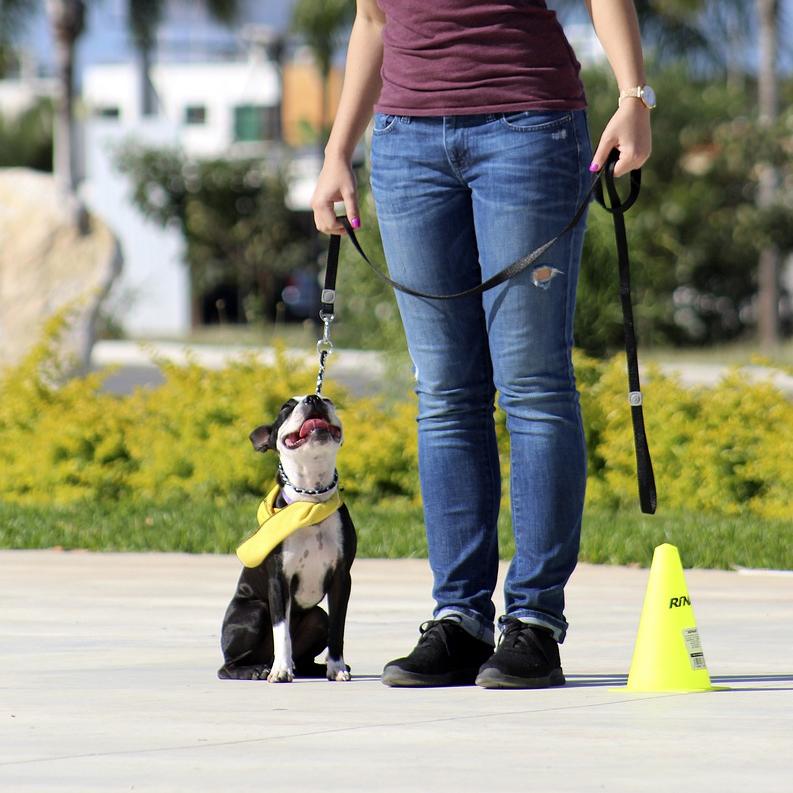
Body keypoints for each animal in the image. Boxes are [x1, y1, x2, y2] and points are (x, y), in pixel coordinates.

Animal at [215, 394, 354, 680]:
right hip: (254, 612)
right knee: (228, 665)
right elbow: (282, 632)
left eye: (328, 400)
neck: (310, 501)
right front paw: (280, 671)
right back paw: (257, 669)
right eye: (286, 407)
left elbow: (338, 628)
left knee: (306, 655)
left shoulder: (341, 578)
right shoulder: (279, 580)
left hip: (317, 618)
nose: (313, 398)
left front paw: (336, 667)